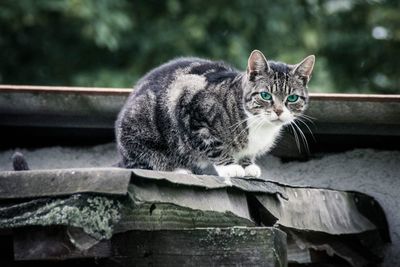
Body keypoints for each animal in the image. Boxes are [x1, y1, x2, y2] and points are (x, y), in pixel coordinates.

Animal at [114, 50, 314, 179]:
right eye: (265, 95)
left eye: (292, 98)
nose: (279, 111)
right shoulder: (193, 111)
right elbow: (214, 144)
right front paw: (231, 167)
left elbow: (247, 155)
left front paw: (247, 165)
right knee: (142, 163)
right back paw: (178, 170)